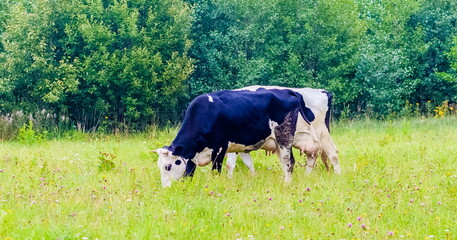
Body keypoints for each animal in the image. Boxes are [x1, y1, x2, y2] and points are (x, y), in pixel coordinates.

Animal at [153, 88, 314, 188]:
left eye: (168, 166)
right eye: (159, 166)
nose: (165, 188)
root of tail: (285, 91)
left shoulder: (219, 148)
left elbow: (215, 171)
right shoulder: (192, 155)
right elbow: (189, 173)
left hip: (284, 137)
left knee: (289, 162)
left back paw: (287, 184)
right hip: (277, 143)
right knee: (285, 162)